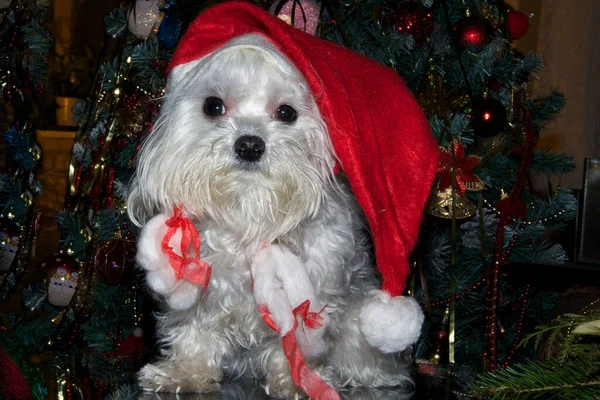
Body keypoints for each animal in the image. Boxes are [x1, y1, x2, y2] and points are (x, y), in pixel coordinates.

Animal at [127, 32, 422, 398]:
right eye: (213, 106)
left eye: (286, 112)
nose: (249, 145)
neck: (249, 212)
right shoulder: (200, 284)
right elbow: (194, 331)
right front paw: (186, 372)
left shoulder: (309, 297)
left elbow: (294, 344)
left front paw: (297, 381)